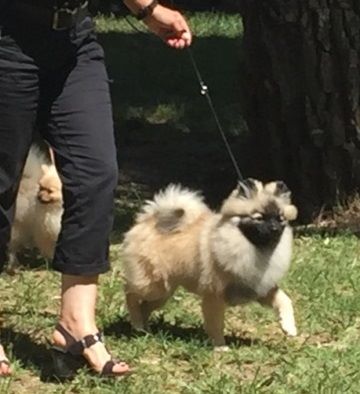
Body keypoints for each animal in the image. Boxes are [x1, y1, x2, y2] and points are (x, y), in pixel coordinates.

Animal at [122, 179, 296, 348]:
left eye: (280, 219)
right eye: (259, 218)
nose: (275, 228)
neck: (252, 248)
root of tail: (149, 220)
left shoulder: (259, 287)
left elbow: (285, 300)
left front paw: (289, 327)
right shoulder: (215, 294)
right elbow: (216, 323)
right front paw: (220, 346)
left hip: (164, 292)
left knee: (144, 306)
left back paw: (144, 330)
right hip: (154, 286)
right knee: (130, 294)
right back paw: (137, 323)